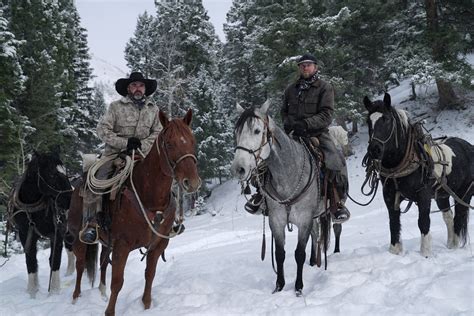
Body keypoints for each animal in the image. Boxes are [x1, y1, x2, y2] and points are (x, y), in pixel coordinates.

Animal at [7, 149, 73, 296]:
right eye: (52, 174)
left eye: (65, 171)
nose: (71, 200)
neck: (32, 208)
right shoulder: (25, 234)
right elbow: (31, 260)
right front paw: (33, 291)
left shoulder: (56, 233)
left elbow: (54, 260)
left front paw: (53, 292)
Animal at [66, 110, 200, 314]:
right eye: (169, 144)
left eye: (193, 141)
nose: (191, 182)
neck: (150, 198)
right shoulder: (122, 246)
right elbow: (117, 282)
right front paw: (109, 312)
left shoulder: (158, 245)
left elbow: (149, 275)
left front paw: (146, 305)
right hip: (78, 236)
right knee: (80, 265)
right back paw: (75, 298)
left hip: (107, 241)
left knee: (103, 262)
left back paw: (102, 293)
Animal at [364, 93, 472, 256]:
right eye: (368, 121)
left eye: (386, 119)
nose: (374, 150)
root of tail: (470, 147)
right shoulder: (389, 196)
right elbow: (393, 223)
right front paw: (395, 251)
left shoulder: (423, 195)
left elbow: (423, 222)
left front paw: (425, 253)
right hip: (442, 195)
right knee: (449, 217)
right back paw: (450, 244)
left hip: (464, 194)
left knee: (459, 216)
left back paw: (454, 246)